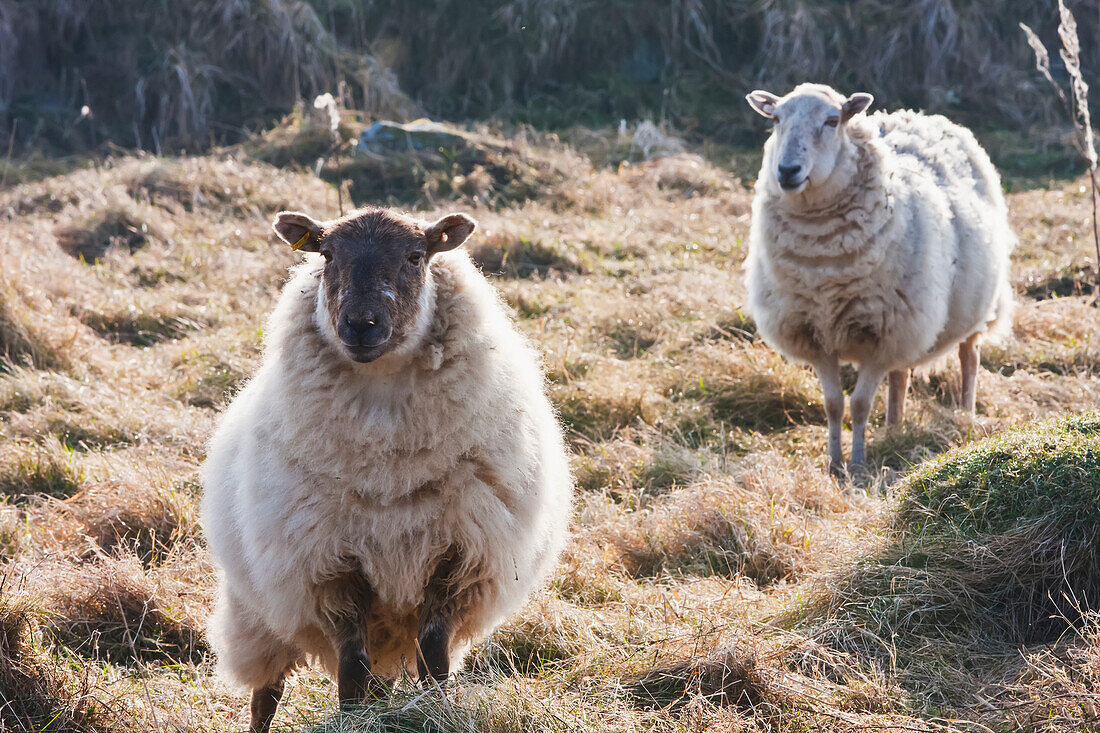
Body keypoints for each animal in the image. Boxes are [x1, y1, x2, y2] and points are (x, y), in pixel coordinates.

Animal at [200, 202, 576, 726]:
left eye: (417, 256)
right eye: (327, 254)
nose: (361, 325)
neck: (388, 467)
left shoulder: (456, 559)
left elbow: (433, 658)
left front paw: (435, 710)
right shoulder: (329, 569)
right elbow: (350, 669)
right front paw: (352, 720)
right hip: (258, 614)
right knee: (266, 694)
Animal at [739, 84, 1012, 473]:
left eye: (832, 120)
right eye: (776, 119)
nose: (787, 170)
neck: (823, 266)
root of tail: (921, 115)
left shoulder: (880, 336)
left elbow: (859, 404)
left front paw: (857, 465)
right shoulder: (817, 335)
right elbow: (833, 404)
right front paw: (834, 463)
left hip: (972, 304)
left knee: (969, 357)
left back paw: (965, 413)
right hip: (910, 319)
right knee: (900, 374)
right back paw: (894, 428)